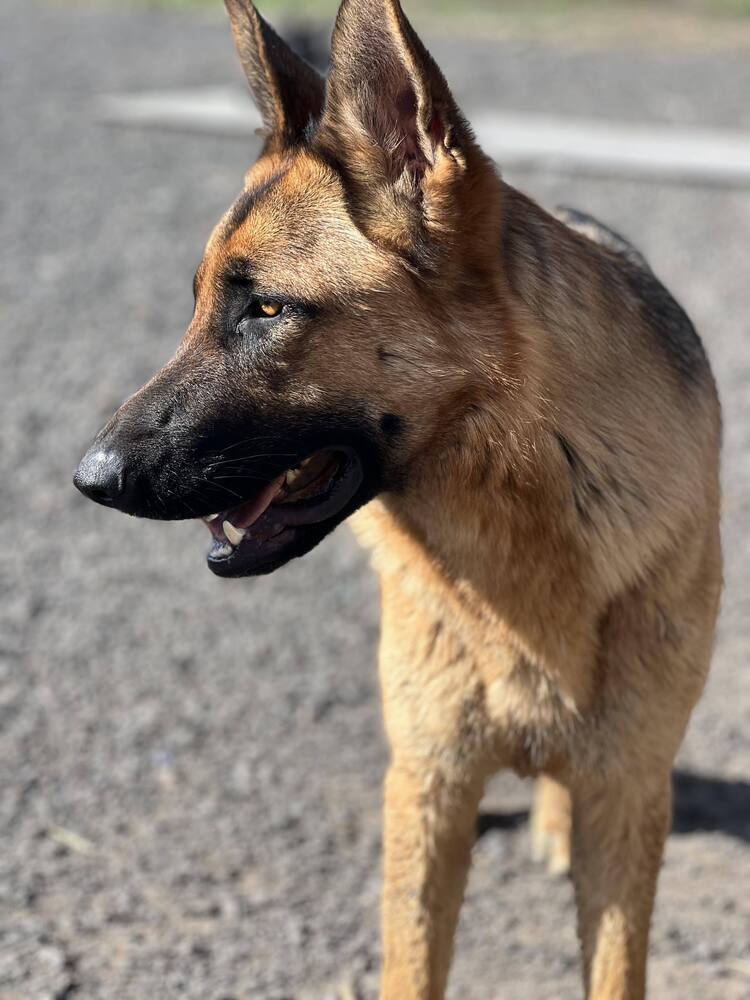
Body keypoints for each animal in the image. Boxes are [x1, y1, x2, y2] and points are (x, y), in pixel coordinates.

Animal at [73, 3, 724, 996]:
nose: (89, 478)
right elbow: (412, 960)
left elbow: (614, 955)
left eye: (266, 310)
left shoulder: (627, 791)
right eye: (196, 304)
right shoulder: (431, 789)